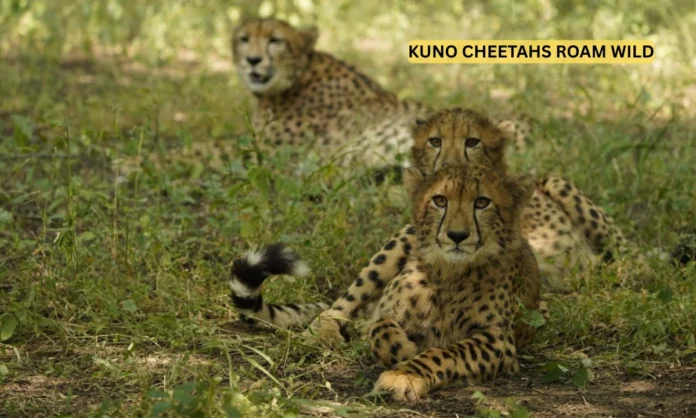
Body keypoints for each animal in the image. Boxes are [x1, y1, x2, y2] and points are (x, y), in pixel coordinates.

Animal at [113, 18, 532, 178]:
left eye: (275, 40)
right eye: (244, 38)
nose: (252, 60)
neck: (296, 76)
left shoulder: (266, 151)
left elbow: (201, 150)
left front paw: (131, 162)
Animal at [228, 164, 546, 401]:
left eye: (482, 202)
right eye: (440, 200)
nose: (457, 235)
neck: (447, 272)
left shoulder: (497, 341)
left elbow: (443, 352)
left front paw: (404, 374)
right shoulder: (385, 311)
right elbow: (380, 325)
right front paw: (402, 350)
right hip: (396, 244)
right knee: (336, 309)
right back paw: (325, 334)